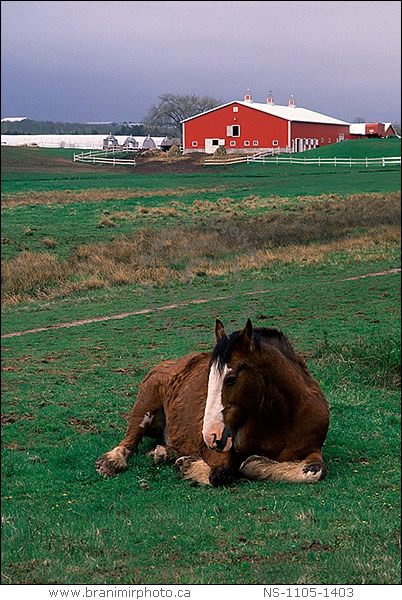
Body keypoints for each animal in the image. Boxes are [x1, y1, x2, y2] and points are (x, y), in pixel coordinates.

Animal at [96, 318, 328, 488]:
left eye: (231, 378)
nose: (209, 435)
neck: (281, 419)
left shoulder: (313, 450)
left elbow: (315, 472)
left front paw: (256, 463)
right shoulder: (218, 452)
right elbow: (220, 474)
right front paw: (187, 464)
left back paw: (163, 453)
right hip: (144, 409)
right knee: (128, 442)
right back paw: (111, 462)